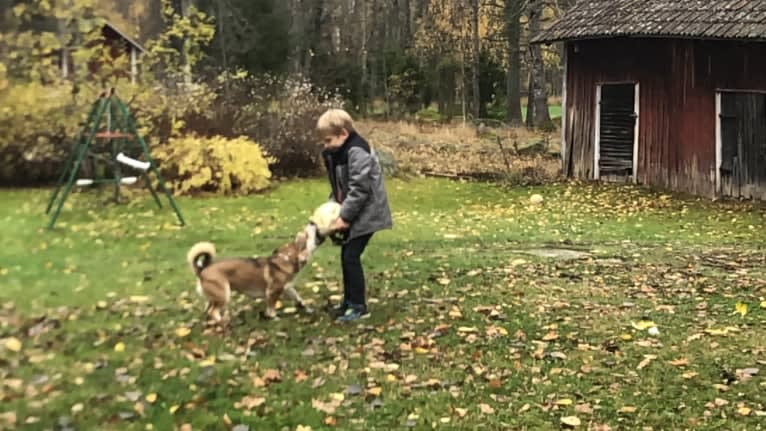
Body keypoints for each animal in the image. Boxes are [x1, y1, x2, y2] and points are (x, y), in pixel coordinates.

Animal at [189, 224, 320, 322]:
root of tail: (202, 269)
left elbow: (298, 298)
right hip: (224, 294)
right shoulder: (273, 292)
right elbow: (271, 307)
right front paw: (273, 317)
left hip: (214, 297)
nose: (313, 225)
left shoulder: (288, 288)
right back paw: (223, 321)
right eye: (308, 236)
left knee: (208, 310)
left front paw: (306, 308)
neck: (287, 259)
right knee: (213, 311)